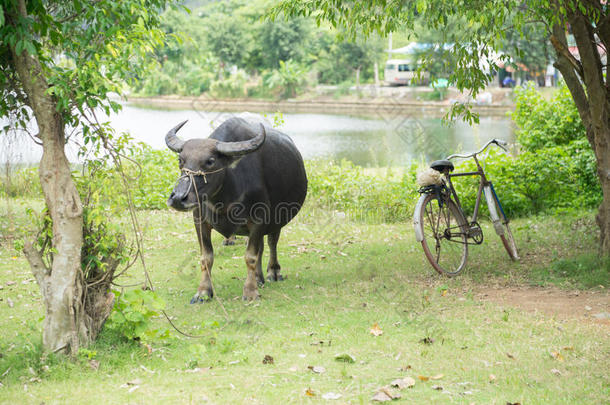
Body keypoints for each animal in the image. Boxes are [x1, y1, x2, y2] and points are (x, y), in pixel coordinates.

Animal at [164, 116, 306, 300]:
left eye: (210, 161)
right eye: (180, 160)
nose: (178, 198)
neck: (224, 199)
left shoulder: (259, 220)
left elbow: (250, 256)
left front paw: (250, 291)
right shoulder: (199, 221)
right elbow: (206, 257)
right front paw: (203, 291)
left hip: (278, 220)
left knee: (271, 243)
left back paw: (273, 273)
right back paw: (259, 277)